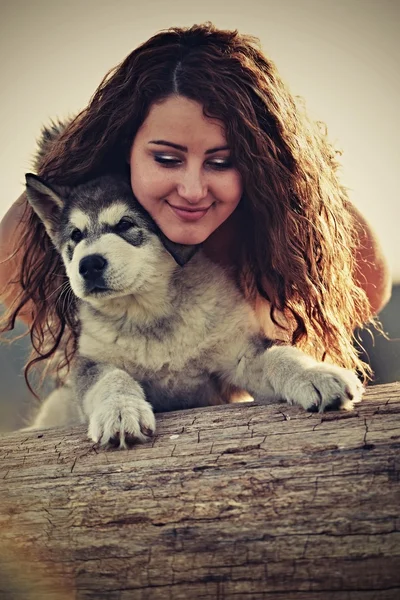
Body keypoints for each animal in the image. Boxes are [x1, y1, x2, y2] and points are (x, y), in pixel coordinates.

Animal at [22, 168, 366, 446]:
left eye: (124, 224)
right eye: (76, 235)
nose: (89, 265)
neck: (150, 315)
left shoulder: (239, 352)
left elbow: (280, 355)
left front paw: (315, 374)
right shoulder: (91, 362)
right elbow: (111, 379)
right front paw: (119, 411)